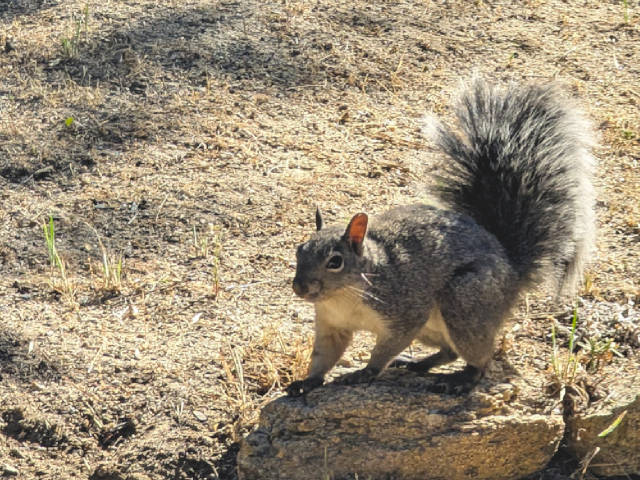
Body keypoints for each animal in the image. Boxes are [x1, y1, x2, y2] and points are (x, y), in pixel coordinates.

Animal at [287, 78, 596, 396]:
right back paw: (418, 364)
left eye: (335, 261)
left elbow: (386, 348)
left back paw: (460, 380)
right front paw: (307, 381)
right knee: (449, 351)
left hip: (465, 304)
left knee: (479, 359)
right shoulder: (331, 325)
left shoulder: (404, 311)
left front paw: (365, 372)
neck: (344, 295)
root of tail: (513, 274)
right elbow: (324, 356)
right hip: (435, 327)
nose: (299, 287)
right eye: (299, 250)